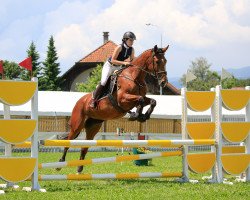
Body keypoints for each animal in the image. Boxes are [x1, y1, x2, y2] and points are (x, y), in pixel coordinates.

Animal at [57, 44, 169, 173]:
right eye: (157, 61)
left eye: (165, 61)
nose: (163, 82)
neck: (134, 76)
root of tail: (80, 101)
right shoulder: (122, 99)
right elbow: (140, 99)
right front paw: (136, 115)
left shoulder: (141, 98)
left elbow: (152, 101)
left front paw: (143, 116)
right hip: (77, 125)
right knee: (68, 141)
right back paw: (60, 163)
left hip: (93, 126)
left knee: (85, 146)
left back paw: (80, 168)